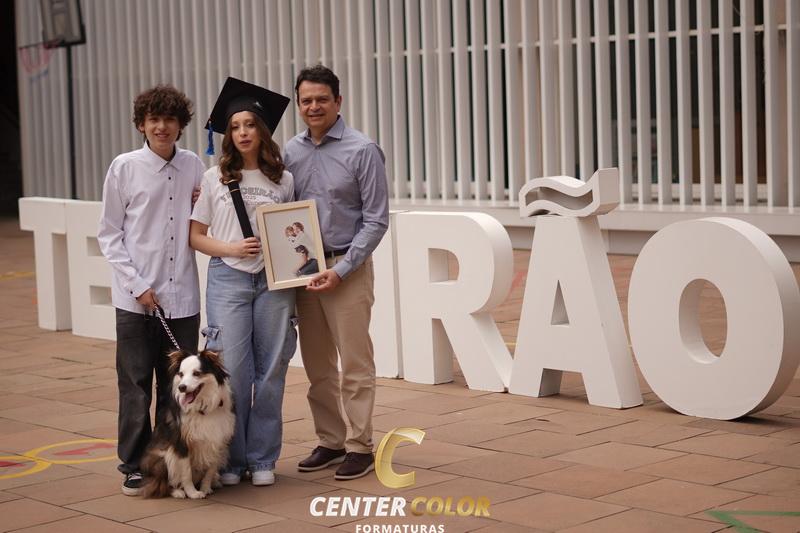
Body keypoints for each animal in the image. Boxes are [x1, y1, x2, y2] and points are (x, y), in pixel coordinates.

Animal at [141, 349, 235, 499]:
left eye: (196, 373)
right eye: (181, 374)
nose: (182, 387)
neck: (202, 408)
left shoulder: (218, 441)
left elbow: (210, 470)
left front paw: (205, 488)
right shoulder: (181, 443)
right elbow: (186, 472)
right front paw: (193, 493)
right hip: (163, 457)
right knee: (162, 482)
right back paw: (177, 491)